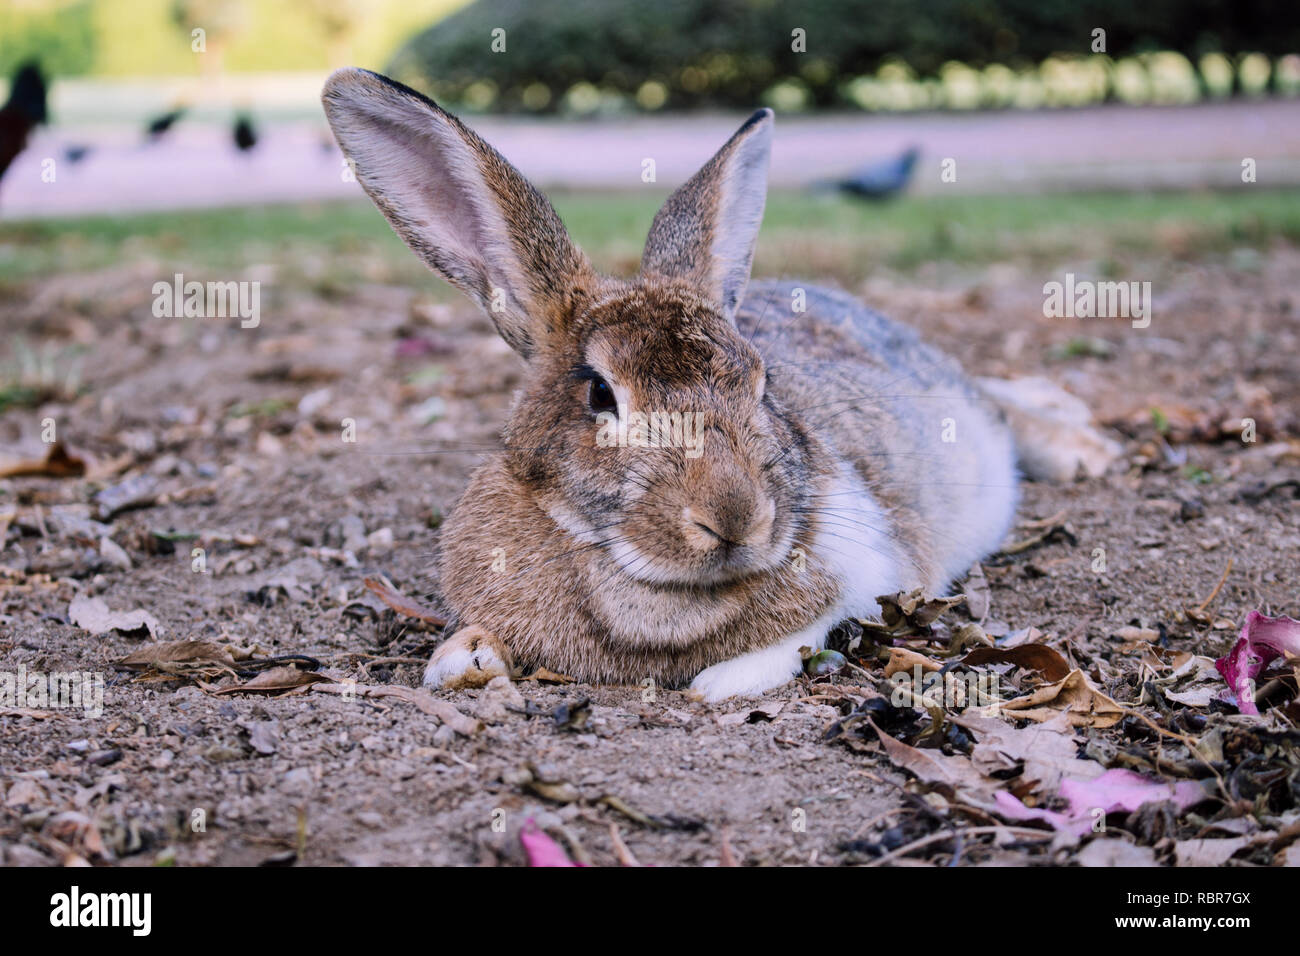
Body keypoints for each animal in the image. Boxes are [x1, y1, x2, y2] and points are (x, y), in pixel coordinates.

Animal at [322, 68, 1018, 702]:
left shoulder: (871, 562)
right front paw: (458, 660)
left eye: (763, 384)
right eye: (601, 394)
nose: (735, 517)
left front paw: (721, 682)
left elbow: (809, 628)